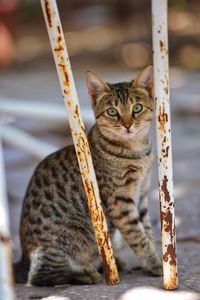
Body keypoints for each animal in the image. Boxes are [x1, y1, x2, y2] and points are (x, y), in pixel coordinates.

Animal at [14, 65, 162, 286]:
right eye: (112, 111)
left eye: (137, 108)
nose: (127, 125)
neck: (137, 152)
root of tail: (23, 259)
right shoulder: (120, 202)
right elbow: (138, 236)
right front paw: (155, 264)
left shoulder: (142, 195)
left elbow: (148, 232)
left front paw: (158, 259)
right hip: (72, 238)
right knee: (40, 277)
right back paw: (87, 274)